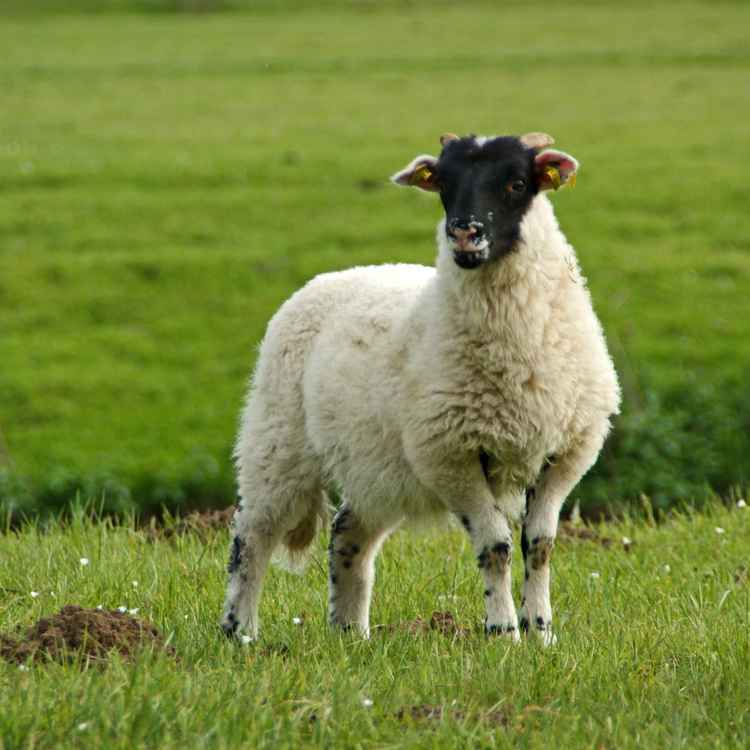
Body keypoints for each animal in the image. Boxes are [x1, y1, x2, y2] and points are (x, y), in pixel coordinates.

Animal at [221, 131, 620, 645]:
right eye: (444, 185)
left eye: (516, 183)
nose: (464, 234)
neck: (518, 356)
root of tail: (330, 277)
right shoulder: (450, 454)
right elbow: (496, 546)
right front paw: (503, 632)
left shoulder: (566, 453)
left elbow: (540, 545)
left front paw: (542, 634)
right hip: (277, 439)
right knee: (252, 536)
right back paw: (240, 632)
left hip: (376, 464)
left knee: (348, 533)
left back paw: (351, 634)